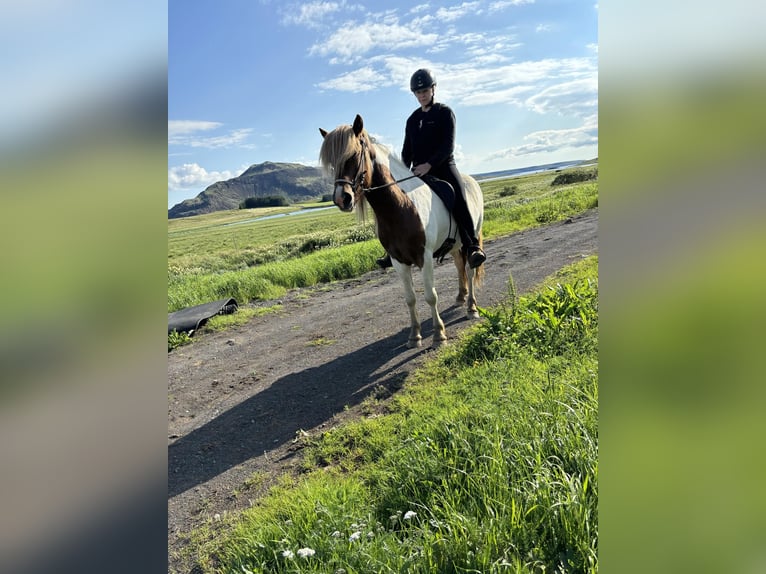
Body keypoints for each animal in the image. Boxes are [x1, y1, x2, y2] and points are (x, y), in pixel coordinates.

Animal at [319, 114, 484, 348]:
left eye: (353, 155)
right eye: (333, 164)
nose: (342, 199)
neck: (401, 207)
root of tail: (471, 181)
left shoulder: (424, 257)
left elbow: (430, 296)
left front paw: (438, 335)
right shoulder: (398, 261)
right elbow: (410, 298)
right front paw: (414, 336)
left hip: (473, 236)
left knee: (470, 269)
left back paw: (471, 307)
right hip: (455, 246)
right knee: (459, 266)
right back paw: (461, 297)